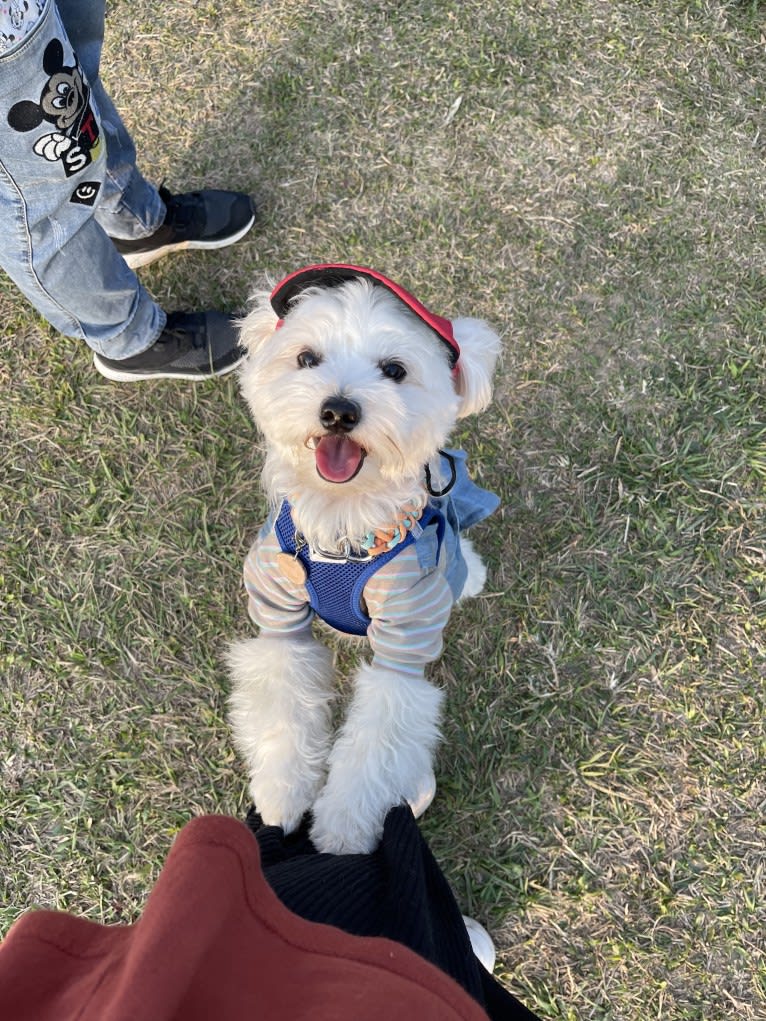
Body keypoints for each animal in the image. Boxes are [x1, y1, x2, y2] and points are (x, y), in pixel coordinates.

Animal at [227, 265, 504, 853]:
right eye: (307, 357)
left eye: (394, 370)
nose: (338, 410)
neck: (343, 525)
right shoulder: (279, 622)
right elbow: (283, 711)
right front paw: (282, 797)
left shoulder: (404, 643)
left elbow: (377, 742)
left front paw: (343, 832)